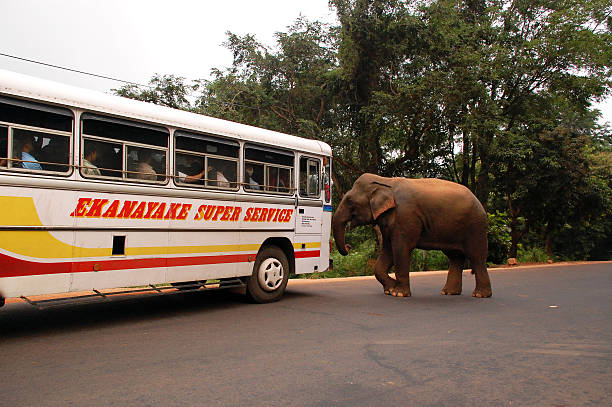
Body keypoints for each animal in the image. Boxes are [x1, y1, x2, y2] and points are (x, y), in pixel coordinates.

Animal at [332, 174, 490, 298]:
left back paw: (480, 295)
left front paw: (398, 293)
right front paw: (390, 289)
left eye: (350, 201)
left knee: (477, 257)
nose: (348, 246)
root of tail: (478, 201)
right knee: (455, 257)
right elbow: (388, 250)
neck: (385, 181)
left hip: (475, 226)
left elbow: (400, 249)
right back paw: (448, 292)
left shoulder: (405, 216)